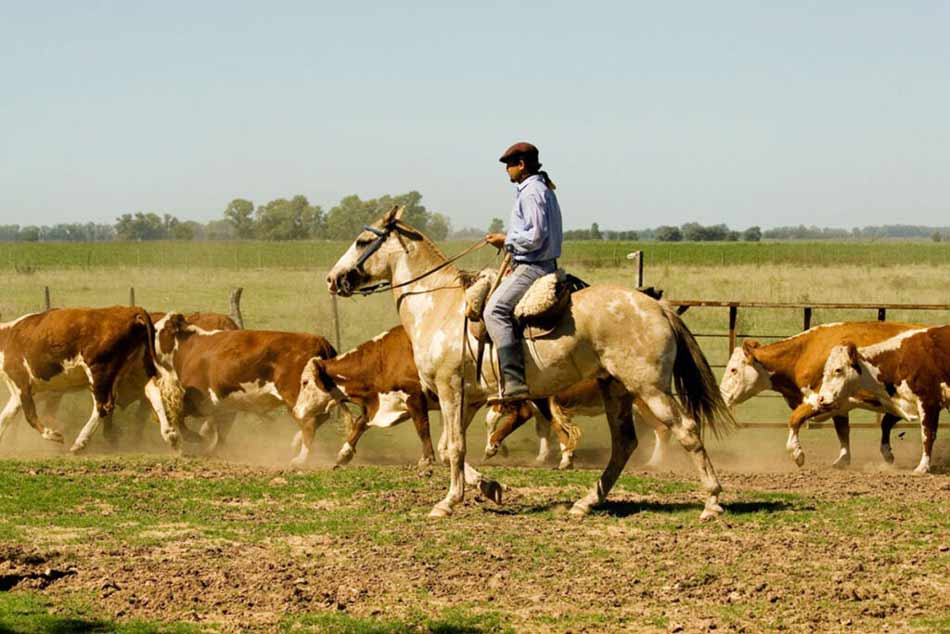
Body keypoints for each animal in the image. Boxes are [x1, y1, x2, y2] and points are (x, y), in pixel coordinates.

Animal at [0, 304, 182, 450]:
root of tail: (130, 311)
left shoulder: (22, 384)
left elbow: (30, 416)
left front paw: (54, 435)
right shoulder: (17, 393)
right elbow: (5, 418)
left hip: (99, 371)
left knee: (103, 406)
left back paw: (80, 442)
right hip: (138, 368)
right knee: (154, 392)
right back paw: (169, 434)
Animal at [152, 314, 338, 462]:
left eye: (156, 331)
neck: (190, 348)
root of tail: (319, 340)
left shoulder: (198, 398)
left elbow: (178, 415)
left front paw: (193, 437)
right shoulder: (225, 404)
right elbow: (222, 431)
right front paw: (213, 449)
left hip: (295, 396)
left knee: (309, 422)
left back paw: (301, 458)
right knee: (321, 417)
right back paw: (295, 442)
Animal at [328, 207, 736, 520]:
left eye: (362, 242)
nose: (333, 278)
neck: (439, 306)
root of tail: (657, 306)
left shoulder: (450, 389)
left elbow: (454, 448)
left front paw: (448, 503)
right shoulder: (470, 398)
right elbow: (447, 448)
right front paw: (489, 487)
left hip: (649, 389)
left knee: (686, 430)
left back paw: (712, 501)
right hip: (617, 390)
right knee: (624, 443)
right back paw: (586, 503)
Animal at [720, 320, 924, 464]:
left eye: (733, 370)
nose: (721, 396)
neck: (804, 353)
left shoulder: (818, 398)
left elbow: (794, 419)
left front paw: (796, 453)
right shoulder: (839, 405)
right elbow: (842, 430)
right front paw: (843, 459)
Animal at [812, 326, 950, 470]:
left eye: (838, 370)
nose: (820, 399)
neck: (899, 360)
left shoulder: (929, 402)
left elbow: (927, 434)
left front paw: (922, 467)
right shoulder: (903, 402)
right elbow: (886, 423)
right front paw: (887, 454)